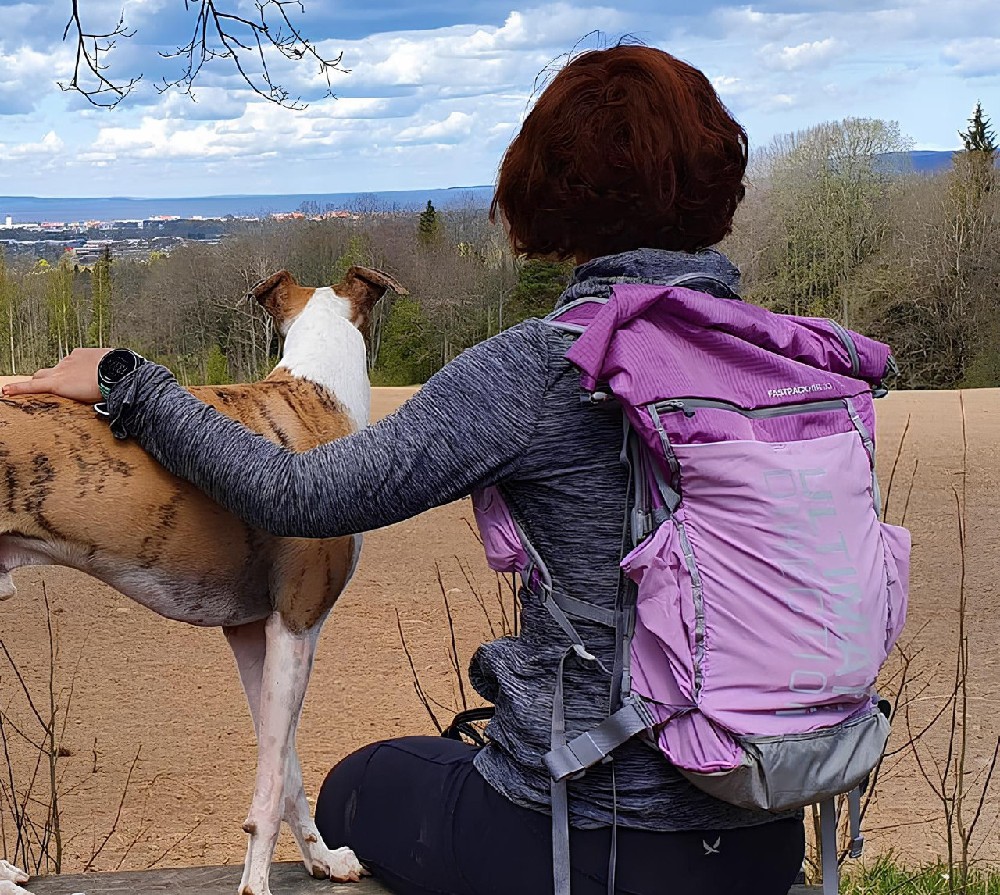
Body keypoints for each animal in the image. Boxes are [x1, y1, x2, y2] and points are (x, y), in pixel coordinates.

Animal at [0, 266, 408, 895]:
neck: (315, 393)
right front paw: (257, 885)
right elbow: (270, 786)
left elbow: (286, 765)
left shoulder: (254, 634)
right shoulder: (298, 623)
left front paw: (324, 859)